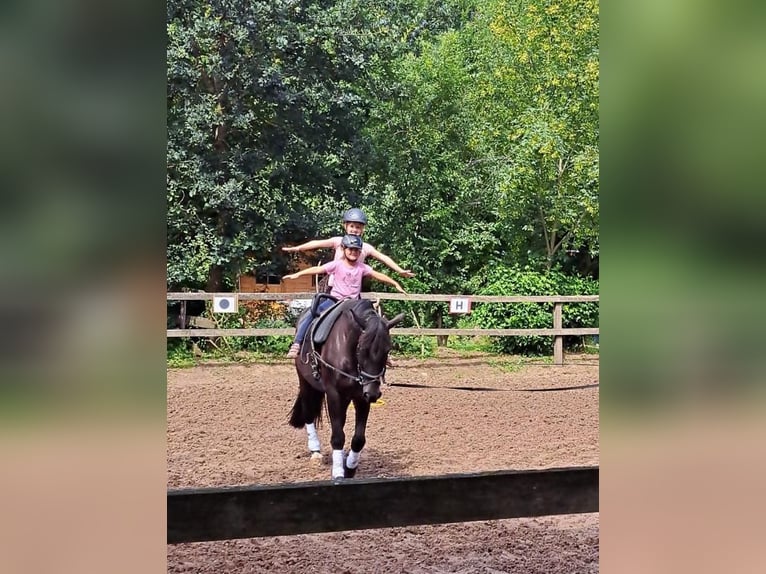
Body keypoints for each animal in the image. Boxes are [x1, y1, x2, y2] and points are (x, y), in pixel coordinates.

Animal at [288, 297, 405, 480]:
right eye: (361, 348)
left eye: (388, 349)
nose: (373, 393)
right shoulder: (334, 395)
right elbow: (337, 436)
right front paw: (338, 472)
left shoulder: (361, 397)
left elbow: (358, 439)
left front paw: (349, 468)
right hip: (306, 382)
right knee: (308, 413)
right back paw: (315, 451)